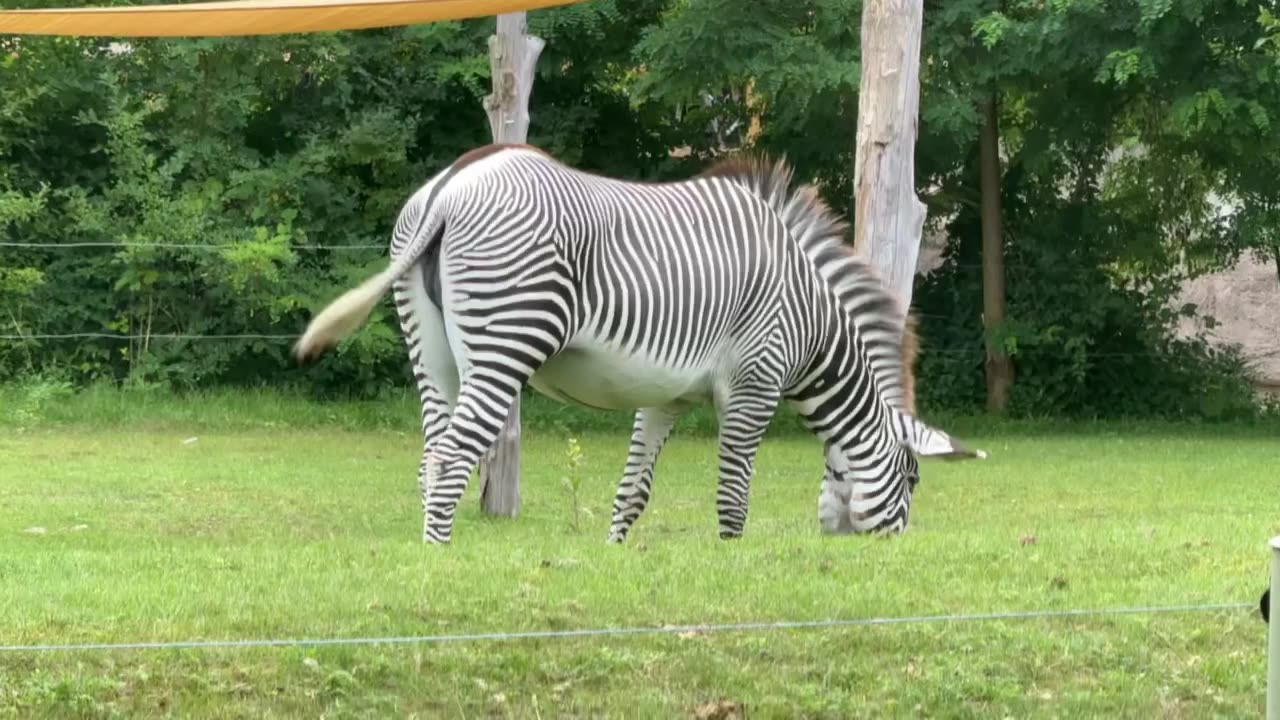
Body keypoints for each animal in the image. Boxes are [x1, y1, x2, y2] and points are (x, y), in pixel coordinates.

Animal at [294, 142, 983, 540]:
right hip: (506, 339)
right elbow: (733, 494)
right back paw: (442, 558)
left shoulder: (665, 396)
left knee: (429, 454)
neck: (812, 320)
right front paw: (728, 560)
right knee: (454, 454)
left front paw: (615, 556)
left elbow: (633, 493)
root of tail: (451, 187)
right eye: (914, 481)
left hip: (432, 351)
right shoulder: (754, 385)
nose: (883, 550)